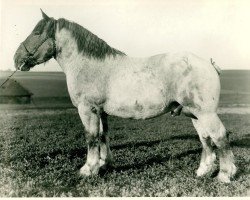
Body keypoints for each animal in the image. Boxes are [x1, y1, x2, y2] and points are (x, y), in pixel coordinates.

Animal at [13, 10, 236, 183]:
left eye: (37, 32)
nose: (16, 59)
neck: (88, 65)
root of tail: (209, 64)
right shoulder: (100, 112)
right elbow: (103, 135)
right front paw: (103, 165)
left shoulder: (88, 110)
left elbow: (91, 138)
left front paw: (88, 169)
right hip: (195, 115)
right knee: (206, 139)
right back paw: (203, 172)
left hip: (205, 113)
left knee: (219, 136)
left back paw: (225, 175)